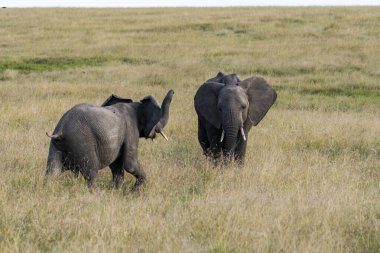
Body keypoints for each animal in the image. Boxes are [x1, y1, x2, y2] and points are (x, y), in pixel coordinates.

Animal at [45, 89, 174, 190]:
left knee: (52, 171)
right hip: (82, 142)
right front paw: (135, 191)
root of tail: (60, 131)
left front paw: (116, 191)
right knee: (91, 172)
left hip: (56, 145)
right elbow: (130, 163)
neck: (137, 105)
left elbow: (116, 166)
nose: (172, 91)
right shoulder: (131, 129)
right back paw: (98, 195)